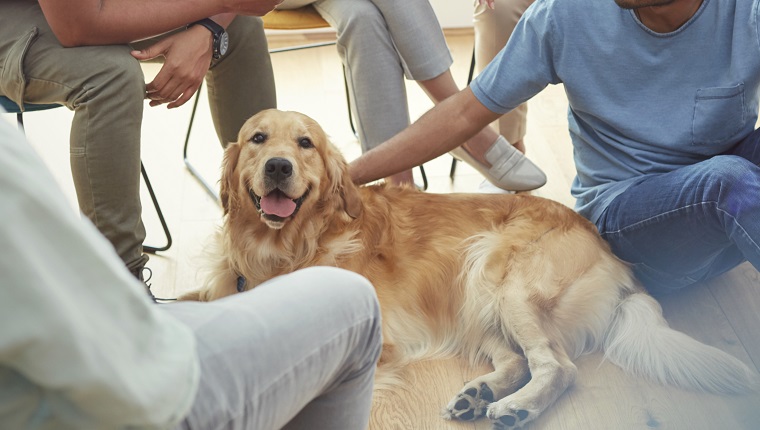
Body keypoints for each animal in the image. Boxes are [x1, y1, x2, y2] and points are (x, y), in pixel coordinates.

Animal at [183, 109, 756, 428]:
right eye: (257, 139)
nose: (278, 167)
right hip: (473, 297)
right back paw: (478, 395)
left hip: (501, 276)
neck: (286, 248)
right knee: (518, 360)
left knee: (557, 366)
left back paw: (517, 408)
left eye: (305, 144)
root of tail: (609, 252)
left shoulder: (366, 338)